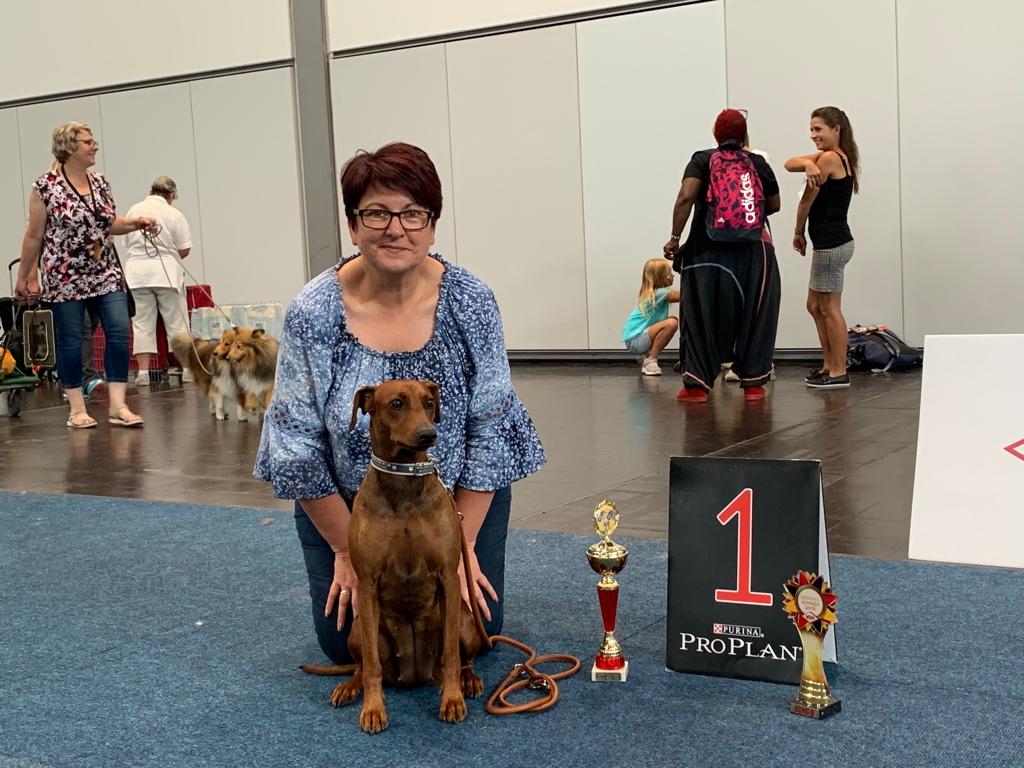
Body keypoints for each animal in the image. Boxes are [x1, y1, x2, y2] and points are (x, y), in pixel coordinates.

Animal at [301, 379, 485, 734]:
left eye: (429, 402)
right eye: (396, 403)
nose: (429, 434)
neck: (404, 480)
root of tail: (416, 677)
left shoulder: (448, 578)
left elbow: (451, 657)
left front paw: (452, 699)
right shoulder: (367, 584)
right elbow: (371, 664)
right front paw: (373, 709)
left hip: (467, 622)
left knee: (464, 657)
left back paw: (468, 681)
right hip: (358, 628)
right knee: (363, 666)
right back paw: (350, 687)